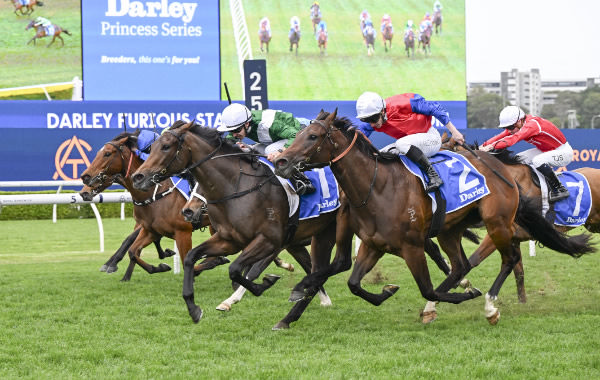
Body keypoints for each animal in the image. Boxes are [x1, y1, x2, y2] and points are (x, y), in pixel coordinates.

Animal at [132, 122, 356, 330]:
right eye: (152, 148)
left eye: (166, 146)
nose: (138, 177)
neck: (237, 188)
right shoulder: (229, 240)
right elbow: (191, 257)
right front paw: (194, 309)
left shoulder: (269, 240)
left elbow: (238, 269)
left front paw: (261, 285)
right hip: (314, 236)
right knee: (314, 267)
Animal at [274, 111, 592, 326]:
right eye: (298, 134)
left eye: (312, 136)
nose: (281, 161)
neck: (376, 188)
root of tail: (504, 170)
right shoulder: (374, 245)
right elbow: (353, 283)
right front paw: (387, 290)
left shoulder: (412, 247)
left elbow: (426, 286)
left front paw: (468, 296)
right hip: (450, 229)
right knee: (461, 265)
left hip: (497, 222)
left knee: (508, 259)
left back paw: (489, 305)